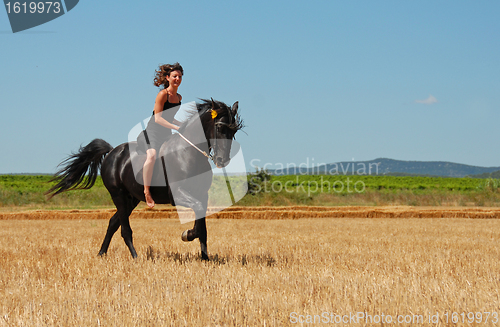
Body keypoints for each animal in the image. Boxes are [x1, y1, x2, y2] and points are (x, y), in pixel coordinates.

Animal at [47, 100, 243, 262]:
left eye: (234, 131)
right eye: (219, 128)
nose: (222, 160)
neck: (188, 153)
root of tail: (112, 152)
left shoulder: (202, 195)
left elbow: (202, 223)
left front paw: (204, 256)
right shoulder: (179, 195)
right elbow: (198, 214)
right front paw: (188, 234)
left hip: (131, 199)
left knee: (113, 223)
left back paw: (101, 253)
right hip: (118, 195)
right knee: (125, 229)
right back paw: (135, 256)